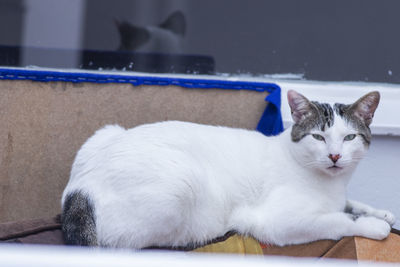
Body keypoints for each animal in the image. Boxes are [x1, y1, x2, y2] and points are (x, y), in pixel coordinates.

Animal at [61, 90, 396, 249]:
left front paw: (381, 213)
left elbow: (350, 204)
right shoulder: (278, 222)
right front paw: (373, 226)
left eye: (349, 137)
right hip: (182, 183)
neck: (331, 183)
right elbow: (338, 220)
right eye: (318, 137)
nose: (335, 155)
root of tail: (80, 189)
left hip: (104, 132)